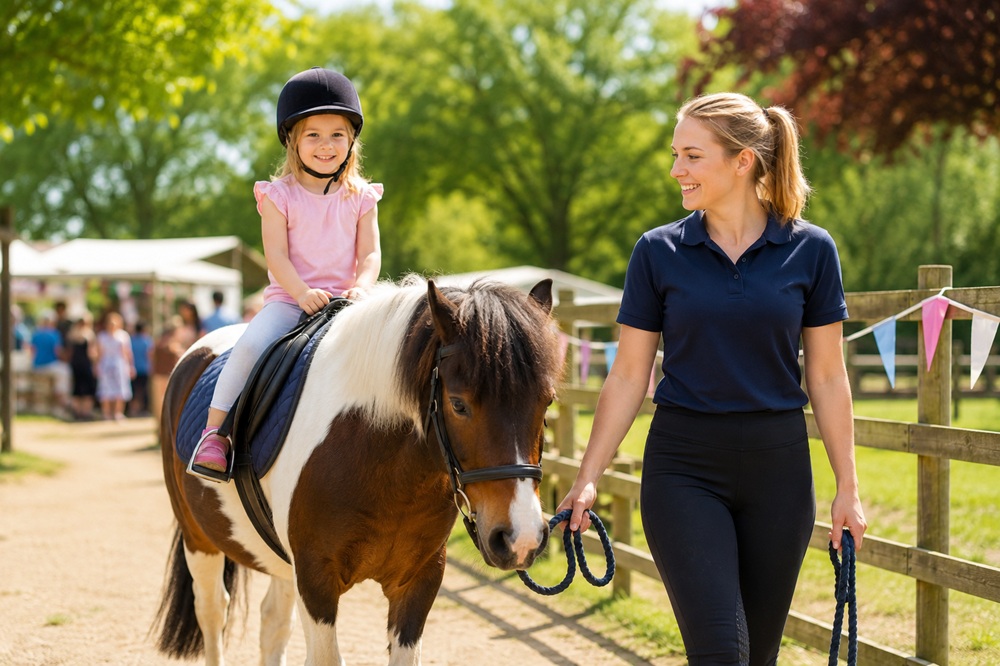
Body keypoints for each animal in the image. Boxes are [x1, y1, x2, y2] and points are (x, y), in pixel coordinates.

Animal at [153, 278, 563, 665]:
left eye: (547, 402)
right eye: (458, 404)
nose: (521, 538)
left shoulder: (419, 581)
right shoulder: (315, 580)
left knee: (272, 622)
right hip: (199, 540)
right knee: (212, 612)